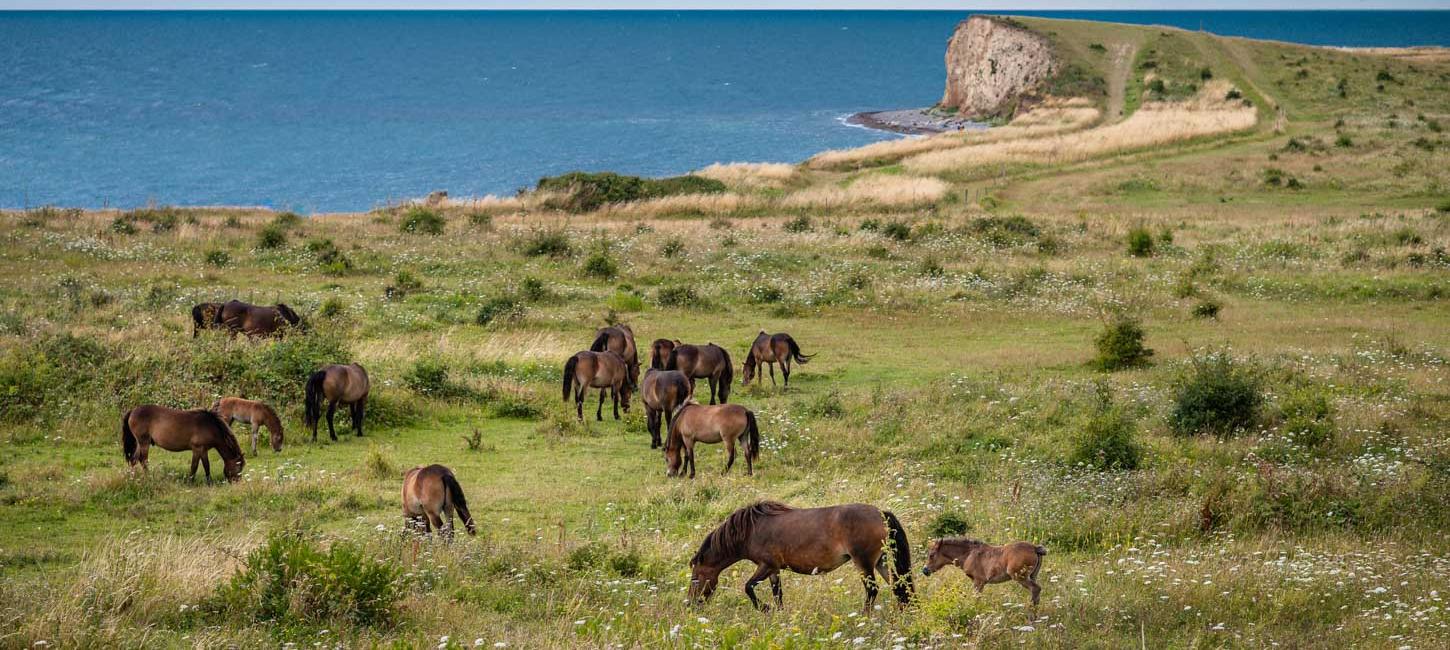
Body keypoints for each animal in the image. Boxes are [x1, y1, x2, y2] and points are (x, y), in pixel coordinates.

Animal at [687, 499, 910, 612]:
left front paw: (764, 608)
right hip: (880, 562)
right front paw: (778, 614)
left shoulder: (766, 565)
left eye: (695, 579)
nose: (690, 605)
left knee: (872, 591)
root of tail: (880, 513)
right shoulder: (773, 570)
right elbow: (777, 594)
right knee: (898, 586)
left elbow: (748, 587)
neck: (750, 530)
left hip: (863, 563)